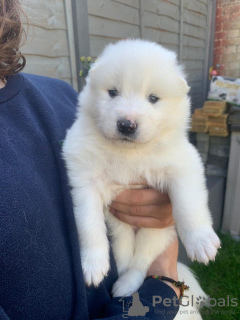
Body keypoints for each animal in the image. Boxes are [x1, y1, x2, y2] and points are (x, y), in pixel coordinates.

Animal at [62, 38, 220, 298]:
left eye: (153, 98)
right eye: (113, 92)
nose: (127, 124)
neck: (129, 152)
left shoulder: (183, 166)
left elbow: (188, 205)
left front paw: (201, 242)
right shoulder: (85, 179)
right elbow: (89, 223)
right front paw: (93, 266)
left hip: (156, 233)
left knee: (141, 262)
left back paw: (125, 285)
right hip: (119, 230)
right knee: (127, 259)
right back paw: (122, 285)